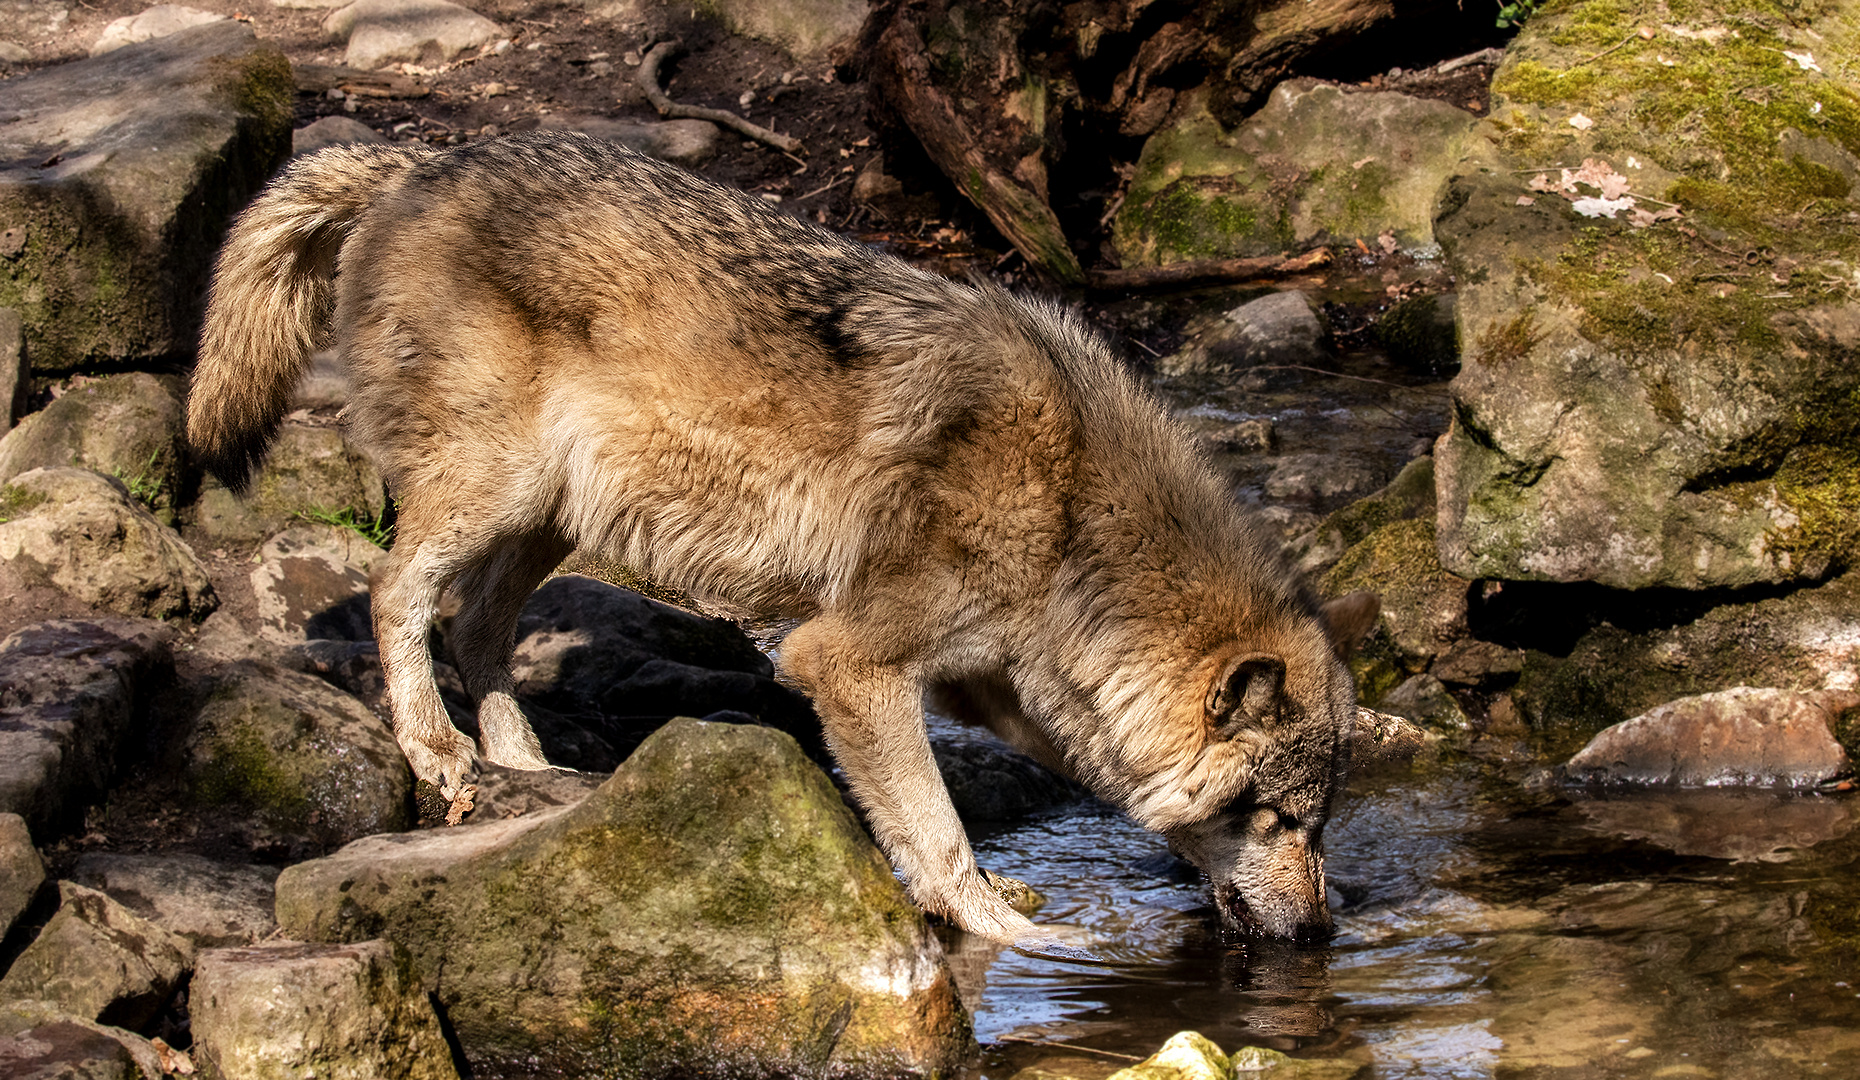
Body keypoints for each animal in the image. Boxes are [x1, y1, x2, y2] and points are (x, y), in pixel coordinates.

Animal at [188, 132, 1383, 944]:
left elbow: (1030, 784)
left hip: (553, 517)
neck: (1075, 508)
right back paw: (437, 751)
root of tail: (415, 165)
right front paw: (1005, 931)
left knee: (477, 628)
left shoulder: (993, 688)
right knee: (398, 594)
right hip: (497, 491)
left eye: (1321, 823)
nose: (1325, 933)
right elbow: (936, 828)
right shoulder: (845, 662)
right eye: (1284, 820)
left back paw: (527, 766)